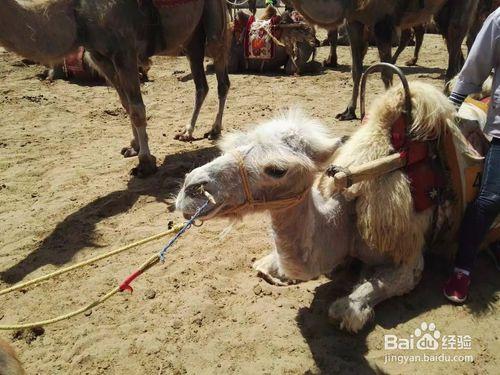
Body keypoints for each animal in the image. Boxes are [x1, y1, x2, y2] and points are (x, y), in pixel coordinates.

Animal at [0, 0, 229, 178]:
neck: (76, 13)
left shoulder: (124, 51)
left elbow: (137, 109)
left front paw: (145, 163)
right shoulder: (99, 56)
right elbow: (125, 104)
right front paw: (133, 147)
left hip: (214, 21)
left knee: (222, 79)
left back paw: (214, 129)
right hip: (192, 38)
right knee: (201, 85)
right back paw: (187, 132)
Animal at [176, 81, 476, 332]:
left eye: (277, 169)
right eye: (230, 146)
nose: (191, 189)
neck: (346, 217)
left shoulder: (408, 255)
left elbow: (358, 301)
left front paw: (349, 306)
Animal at [286, 0, 476, 119]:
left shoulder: (382, 23)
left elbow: (386, 72)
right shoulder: (353, 21)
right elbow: (356, 70)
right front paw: (348, 111)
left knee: (457, 37)